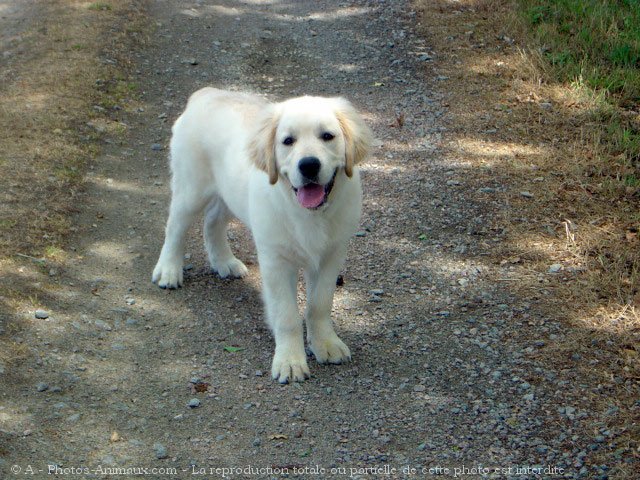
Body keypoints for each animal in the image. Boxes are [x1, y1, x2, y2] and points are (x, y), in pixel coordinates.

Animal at [152, 89, 372, 382]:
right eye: (288, 141)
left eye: (328, 136)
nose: (309, 165)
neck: (308, 214)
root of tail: (207, 93)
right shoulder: (275, 261)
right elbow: (287, 315)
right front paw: (290, 361)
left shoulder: (331, 255)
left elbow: (320, 304)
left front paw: (325, 343)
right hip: (191, 190)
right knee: (175, 227)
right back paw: (168, 270)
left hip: (229, 194)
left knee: (212, 222)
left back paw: (224, 262)